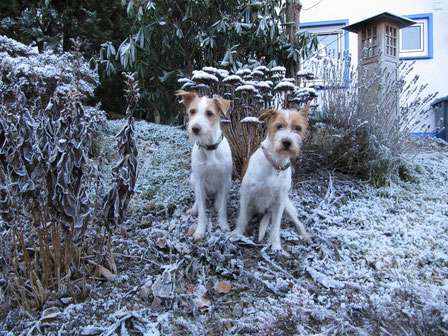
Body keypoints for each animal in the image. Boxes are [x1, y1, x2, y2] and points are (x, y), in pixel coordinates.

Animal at [175, 90, 233, 240]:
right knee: (198, 197)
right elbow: (202, 210)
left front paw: (223, 224)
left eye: (209, 113)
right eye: (192, 111)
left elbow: (223, 207)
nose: (195, 128)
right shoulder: (199, 180)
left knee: (219, 198)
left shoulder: (225, 179)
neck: (209, 148)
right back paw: (194, 208)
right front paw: (200, 229)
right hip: (193, 179)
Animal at [231, 101, 312, 252]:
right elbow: (241, 217)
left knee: (297, 221)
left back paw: (304, 234)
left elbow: (275, 226)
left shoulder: (279, 202)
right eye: (278, 126)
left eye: (298, 128)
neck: (276, 165)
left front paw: (276, 245)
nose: (287, 142)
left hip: (286, 206)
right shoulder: (246, 194)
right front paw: (237, 233)